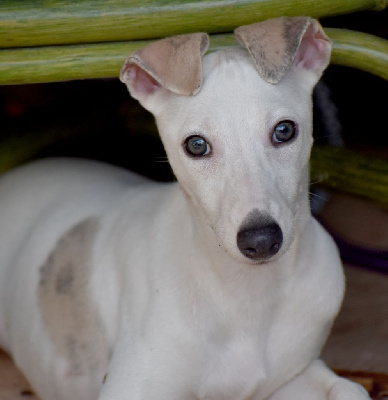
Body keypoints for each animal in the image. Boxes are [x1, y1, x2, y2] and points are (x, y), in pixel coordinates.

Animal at [0, 16, 372, 400]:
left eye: (284, 130)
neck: (245, 294)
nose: (261, 240)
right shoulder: (131, 386)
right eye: (196, 145)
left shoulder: (294, 373)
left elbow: (351, 389)